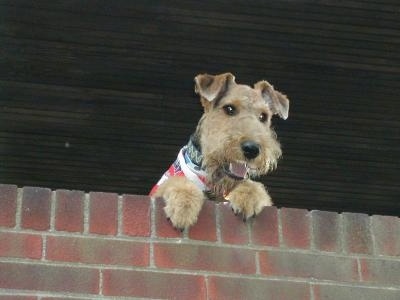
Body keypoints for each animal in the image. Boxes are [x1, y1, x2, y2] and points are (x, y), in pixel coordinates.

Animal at [149, 73, 288, 230]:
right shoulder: (158, 189)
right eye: (229, 109)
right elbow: (176, 182)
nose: (252, 149)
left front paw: (248, 198)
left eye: (263, 116)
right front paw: (182, 209)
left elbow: (253, 186)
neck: (213, 182)